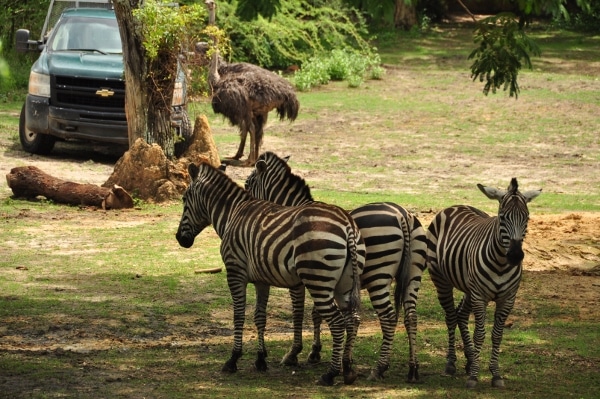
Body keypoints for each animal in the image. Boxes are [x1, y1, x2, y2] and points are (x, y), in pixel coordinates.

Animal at [175, 161, 366, 386]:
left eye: (184, 199)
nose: (179, 239)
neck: (232, 213)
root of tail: (348, 224)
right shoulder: (261, 280)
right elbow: (260, 316)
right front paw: (260, 359)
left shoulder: (235, 271)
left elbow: (239, 315)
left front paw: (233, 359)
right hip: (344, 284)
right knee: (352, 319)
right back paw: (348, 369)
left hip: (318, 279)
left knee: (337, 322)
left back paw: (330, 374)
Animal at [243, 152, 426, 382]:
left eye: (247, 184)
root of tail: (403, 215)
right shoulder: (323, 278)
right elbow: (318, 313)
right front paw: (320, 353)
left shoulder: (302, 280)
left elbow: (300, 312)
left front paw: (296, 353)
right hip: (413, 275)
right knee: (411, 316)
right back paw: (413, 368)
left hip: (378, 275)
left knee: (388, 317)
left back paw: (379, 368)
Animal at [424, 179, 540, 390]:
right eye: (502, 218)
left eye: (526, 218)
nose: (515, 256)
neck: (501, 264)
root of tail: (455, 206)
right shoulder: (480, 296)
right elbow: (480, 334)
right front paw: (474, 377)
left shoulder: (507, 299)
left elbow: (497, 335)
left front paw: (495, 374)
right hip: (441, 280)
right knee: (451, 317)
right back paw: (451, 363)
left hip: (469, 288)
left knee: (461, 314)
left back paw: (470, 360)